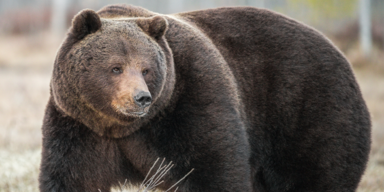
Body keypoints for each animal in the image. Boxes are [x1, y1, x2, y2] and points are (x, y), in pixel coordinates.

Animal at [38, 4, 368, 192]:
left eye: (146, 69)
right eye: (116, 67)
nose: (141, 98)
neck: (123, 127)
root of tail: (339, 53)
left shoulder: (191, 99)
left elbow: (214, 166)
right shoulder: (80, 125)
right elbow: (72, 177)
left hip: (309, 111)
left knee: (318, 173)